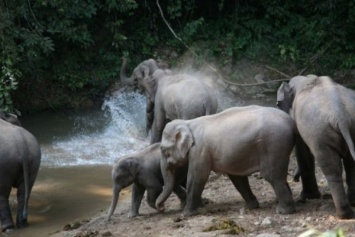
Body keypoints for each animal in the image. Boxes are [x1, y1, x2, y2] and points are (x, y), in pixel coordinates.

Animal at [156, 105, 298, 217]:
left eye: (163, 149)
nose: (161, 208)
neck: (187, 123)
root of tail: (291, 122)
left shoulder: (199, 151)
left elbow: (197, 177)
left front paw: (186, 214)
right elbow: (237, 177)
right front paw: (251, 206)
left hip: (273, 144)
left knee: (272, 176)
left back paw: (283, 211)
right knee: (279, 176)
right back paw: (279, 204)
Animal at [278, 75, 355, 218]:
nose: (295, 179)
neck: (306, 78)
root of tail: (341, 116)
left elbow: (302, 150)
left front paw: (308, 196)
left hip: (320, 134)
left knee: (332, 169)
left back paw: (344, 214)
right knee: (350, 166)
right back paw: (353, 203)